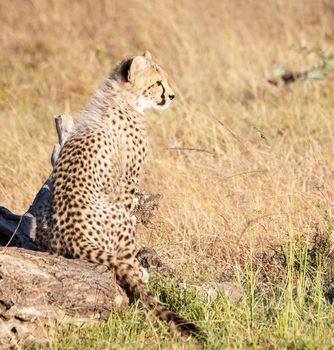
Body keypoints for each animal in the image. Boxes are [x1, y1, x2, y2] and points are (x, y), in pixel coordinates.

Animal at [35, 50, 201, 338]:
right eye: (158, 82)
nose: (172, 96)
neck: (123, 97)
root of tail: (72, 237)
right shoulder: (126, 183)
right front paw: (139, 270)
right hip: (115, 215)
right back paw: (138, 271)